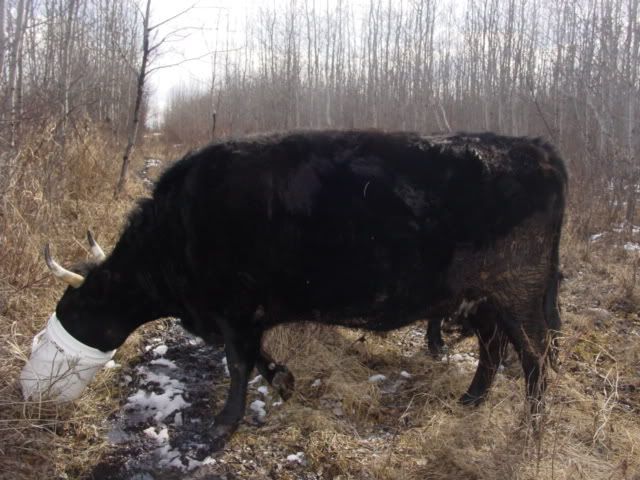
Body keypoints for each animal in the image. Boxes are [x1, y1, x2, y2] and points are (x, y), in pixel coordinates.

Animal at [36, 130, 566, 440]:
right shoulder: (241, 316)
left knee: (535, 356)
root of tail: (534, 145)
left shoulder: (235, 311)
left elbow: (237, 364)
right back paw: (472, 400)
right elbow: (255, 358)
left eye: (74, 310)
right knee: (493, 348)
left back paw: (532, 427)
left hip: (518, 290)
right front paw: (283, 380)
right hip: (481, 298)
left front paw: (224, 423)